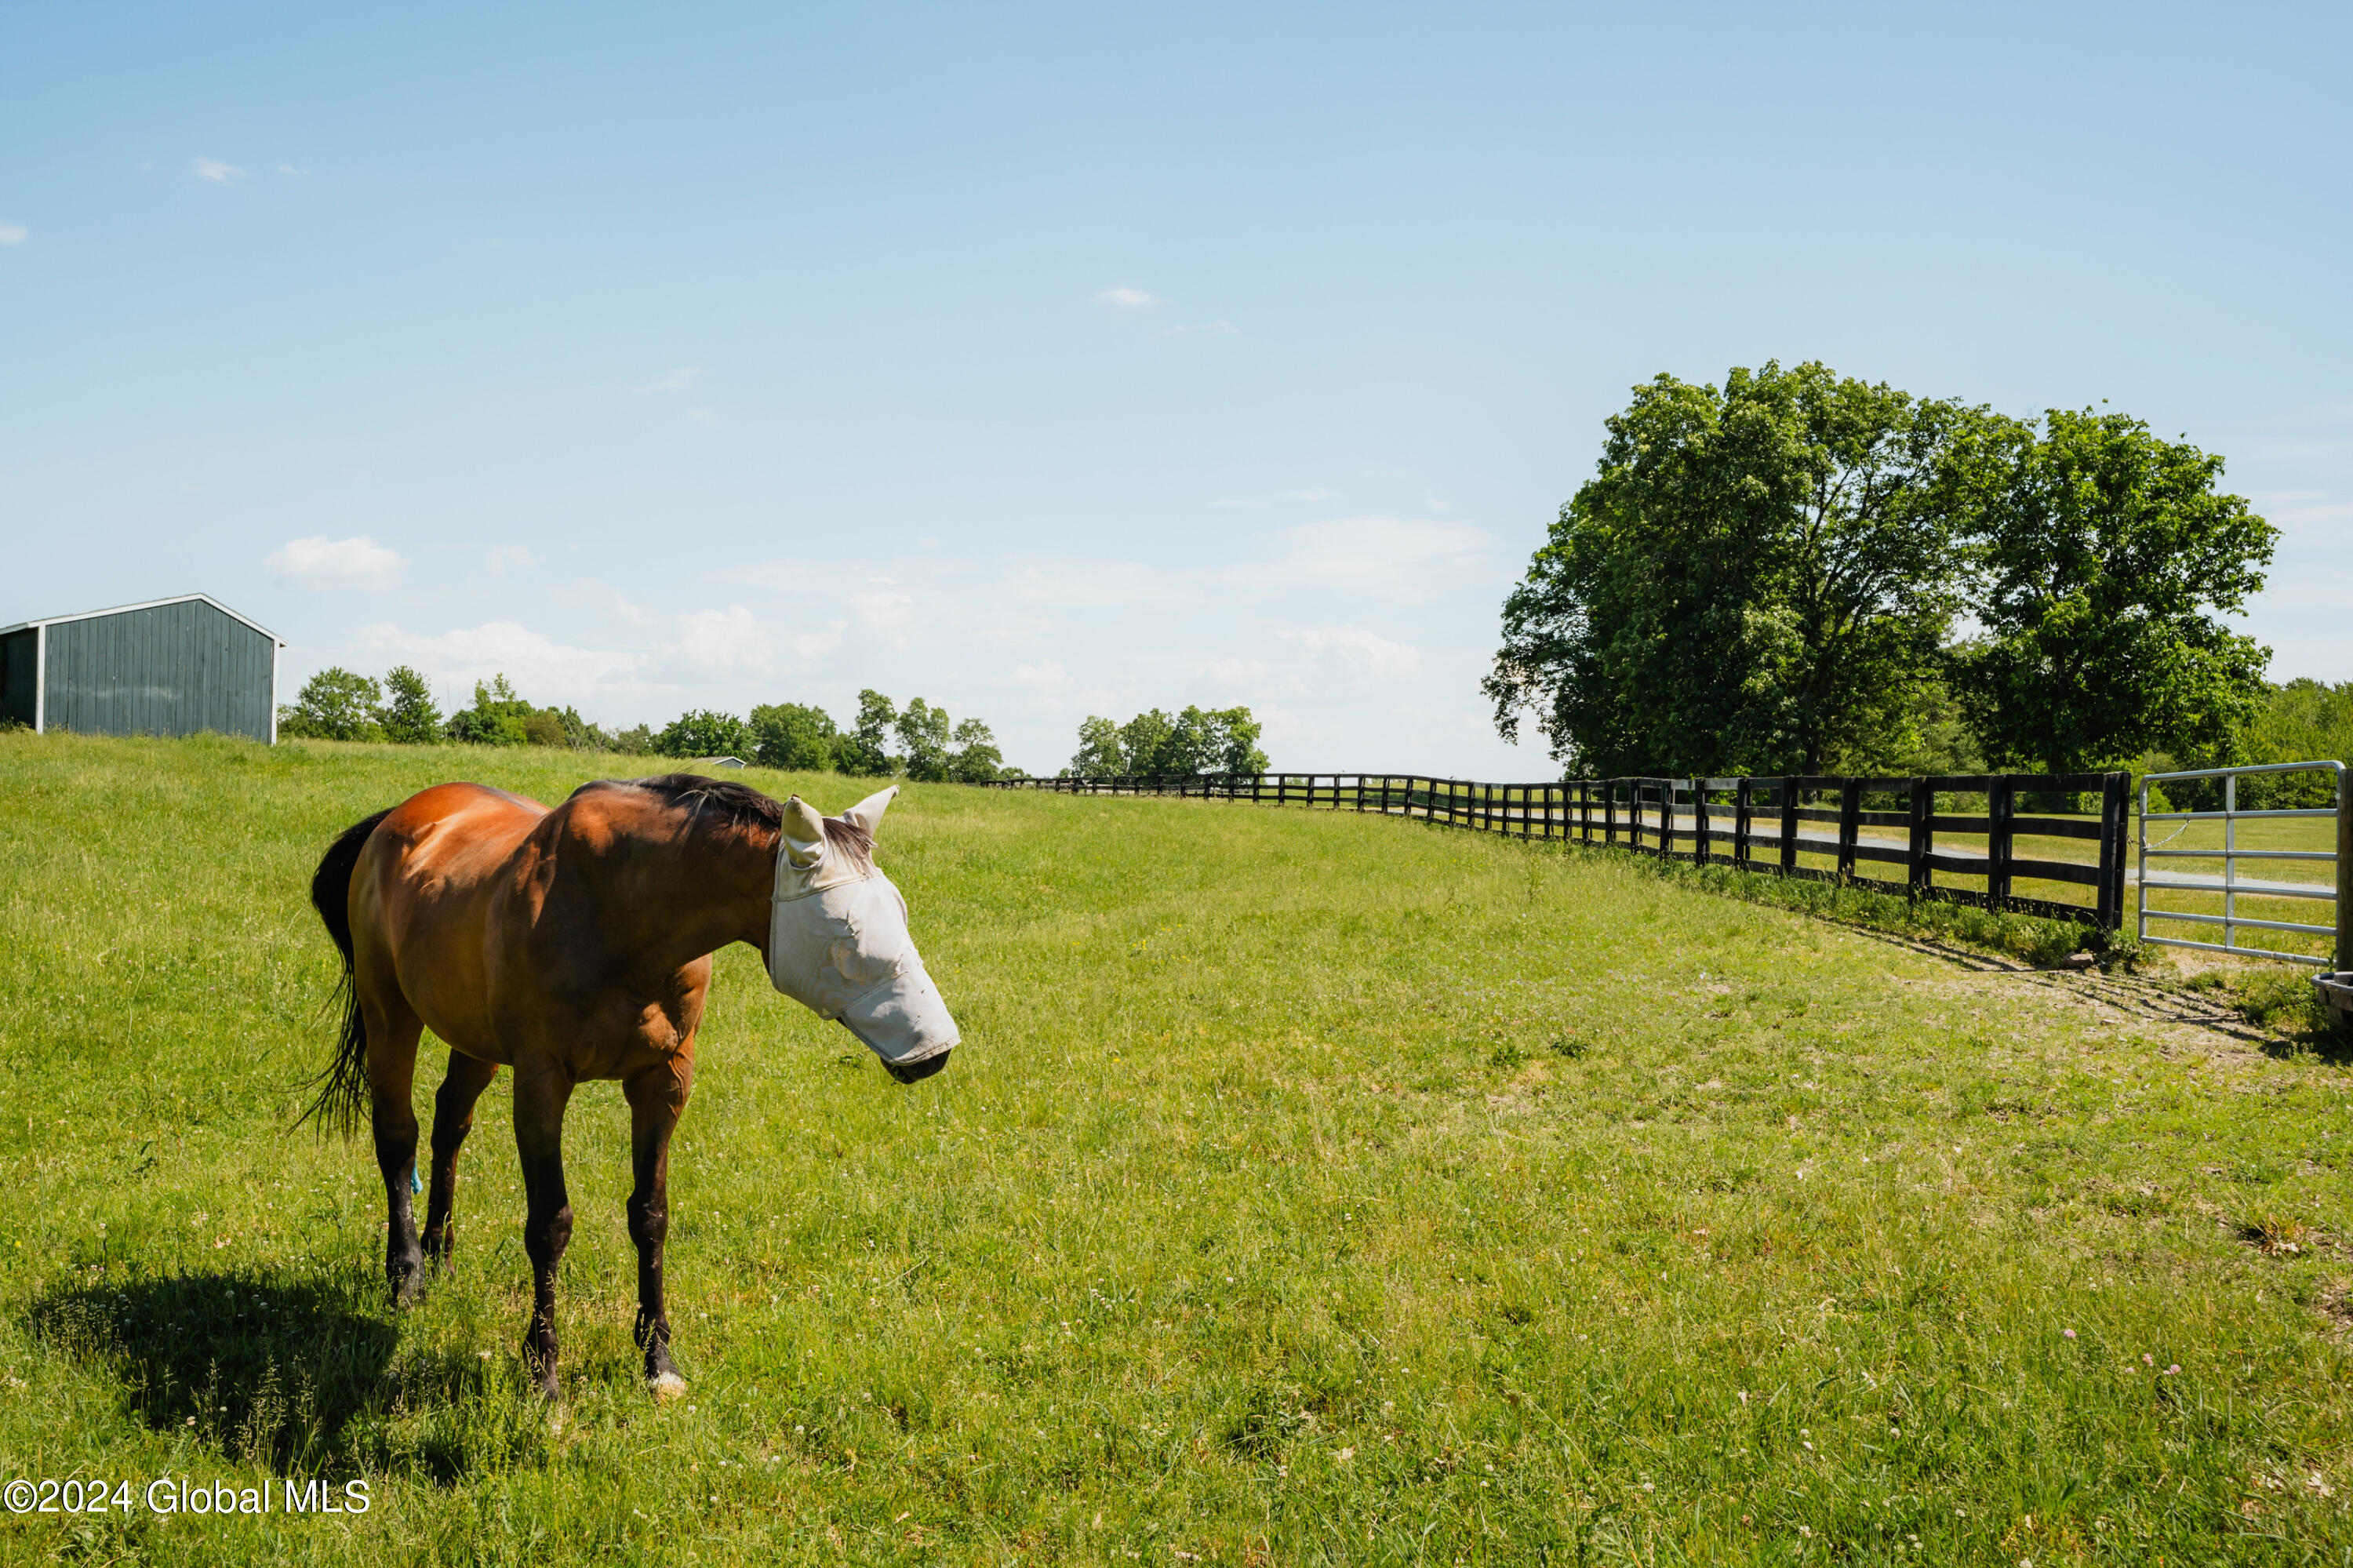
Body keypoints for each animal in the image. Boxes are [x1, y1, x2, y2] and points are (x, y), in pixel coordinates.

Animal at [311, 777, 955, 1393]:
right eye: (847, 935)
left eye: (899, 911)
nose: (937, 1052)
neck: (619, 911)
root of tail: (397, 819)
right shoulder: (542, 1081)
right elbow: (549, 1224)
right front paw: (543, 1373)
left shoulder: (663, 1081)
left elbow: (650, 1215)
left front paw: (657, 1359)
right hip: (390, 1015)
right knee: (399, 1137)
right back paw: (407, 1275)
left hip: (473, 1039)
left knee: (450, 1124)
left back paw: (441, 1256)